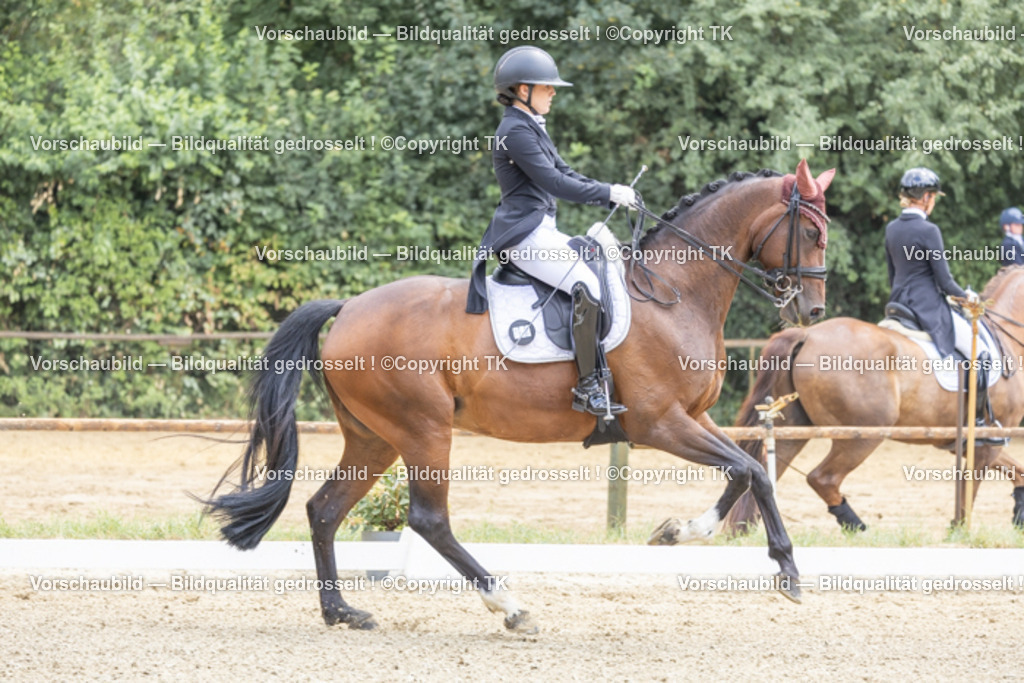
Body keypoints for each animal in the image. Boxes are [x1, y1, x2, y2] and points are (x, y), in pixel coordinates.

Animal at [201, 160, 835, 632]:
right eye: (811, 233)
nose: (812, 311)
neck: (675, 292)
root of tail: (349, 308)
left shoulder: (694, 416)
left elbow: (753, 473)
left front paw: (768, 564)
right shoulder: (659, 424)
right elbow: (746, 471)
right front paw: (702, 540)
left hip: (374, 437)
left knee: (325, 509)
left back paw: (342, 612)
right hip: (423, 429)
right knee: (428, 519)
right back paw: (508, 605)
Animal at [723, 266, 1024, 535]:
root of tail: (805, 334)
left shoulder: (971, 442)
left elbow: (1016, 470)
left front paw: (1017, 514)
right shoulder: (988, 439)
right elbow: (972, 484)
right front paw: (960, 528)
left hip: (795, 427)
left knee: (767, 470)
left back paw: (743, 529)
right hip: (864, 434)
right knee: (822, 478)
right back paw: (856, 527)